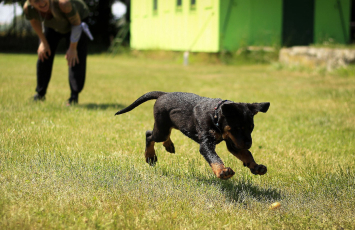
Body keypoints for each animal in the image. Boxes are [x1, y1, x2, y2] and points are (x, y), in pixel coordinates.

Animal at [115, 91, 272, 180]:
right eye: (238, 128)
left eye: (251, 128)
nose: (249, 144)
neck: (215, 116)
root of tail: (163, 94)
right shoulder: (207, 143)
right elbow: (214, 158)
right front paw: (222, 171)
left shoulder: (233, 142)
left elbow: (246, 154)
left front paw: (256, 167)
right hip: (161, 128)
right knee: (149, 135)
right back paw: (150, 156)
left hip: (168, 125)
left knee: (164, 134)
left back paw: (169, 145)